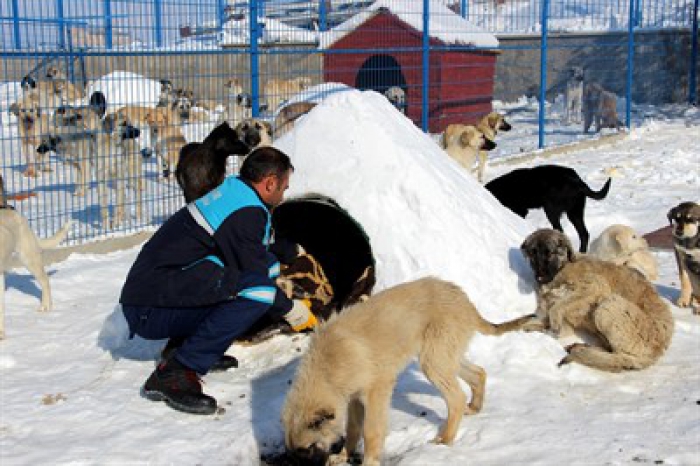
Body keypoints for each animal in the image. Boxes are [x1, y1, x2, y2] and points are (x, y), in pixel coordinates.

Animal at [282, 274, 532, 466]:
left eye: (308, 448)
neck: (327, 367)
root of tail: (465, 301)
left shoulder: (376, 390)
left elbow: (371, 431)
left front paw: (368, 461)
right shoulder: (352, 397)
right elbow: (352, 428)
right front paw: (343, 455)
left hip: (434, 361)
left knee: (456, 398)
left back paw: (446, 439)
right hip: (445, 357)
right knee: (479, 373)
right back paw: (475, 407)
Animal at [520, 228, 672, 374]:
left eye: (550, 253)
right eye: (532, 254)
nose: (539, 276)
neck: (562, 269)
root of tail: (659, 349)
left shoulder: (594, 286)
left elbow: (556, 309)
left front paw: (552, 325)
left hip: (608, 305)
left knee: (622, 358)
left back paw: (582, 352)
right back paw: (580, 347)